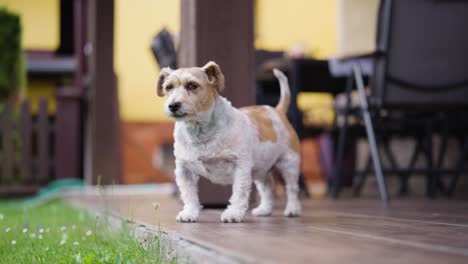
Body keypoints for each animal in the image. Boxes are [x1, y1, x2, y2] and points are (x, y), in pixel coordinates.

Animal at [157, 62, 304, 223]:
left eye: (192, 85)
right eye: (168, 87)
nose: (173, 105)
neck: (200, 130)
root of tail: (277, 111)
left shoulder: (240, 166)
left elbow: (238, 192)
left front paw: (233, 213)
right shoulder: (184, 170)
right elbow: (189, 195)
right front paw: (189, 213)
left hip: (289, 164)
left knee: (292, 188)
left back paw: (293, 209)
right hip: (261, 169)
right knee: (267, 187)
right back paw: (265, 209)